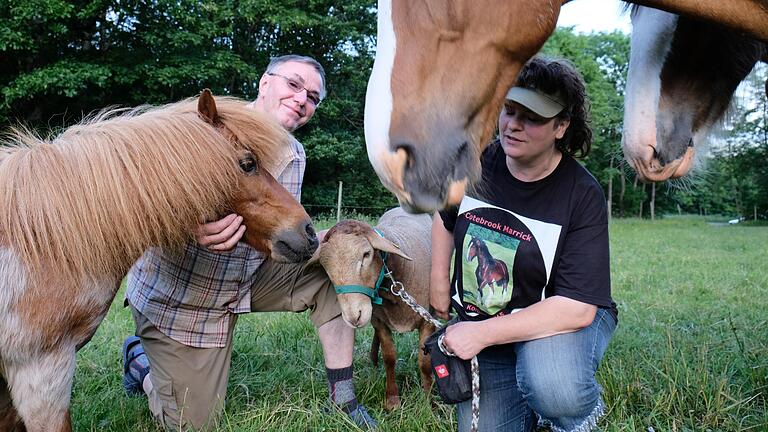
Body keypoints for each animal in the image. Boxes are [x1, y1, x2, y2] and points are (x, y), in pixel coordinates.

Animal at [310, 208, 432, 410]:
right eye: (325, 268)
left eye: (366, 254)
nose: (353, 316)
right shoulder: (378, 320)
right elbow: (389, 357)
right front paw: (392, 400)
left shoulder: (429, 320)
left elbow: (424, 361)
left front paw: (428, 400)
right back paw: (374, 362)